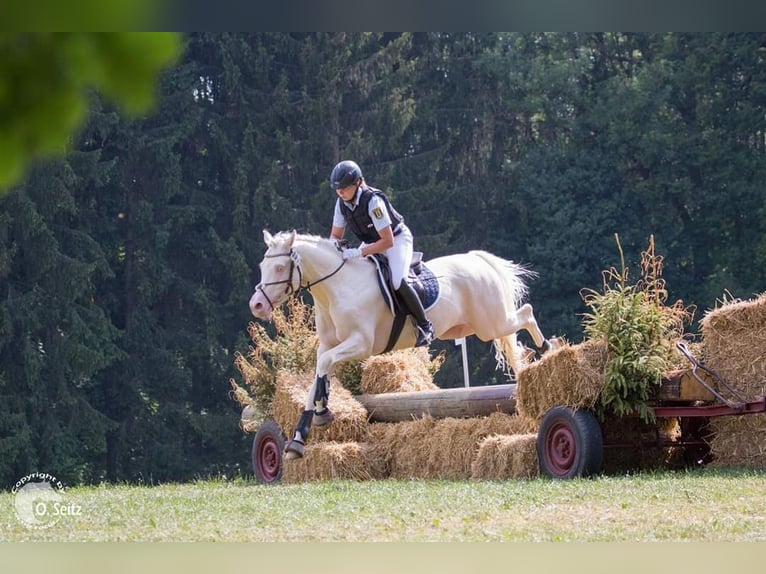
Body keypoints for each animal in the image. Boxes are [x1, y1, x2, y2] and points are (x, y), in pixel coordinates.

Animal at [250, 232, 560, 462]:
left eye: (279, 267)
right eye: (262, 267)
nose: (257, 305)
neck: (337, 288)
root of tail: (478, 259)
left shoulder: (361, 344)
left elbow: (325, 365)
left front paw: (323, 413)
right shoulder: (327, 345)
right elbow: (317, 376)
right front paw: (299, 438)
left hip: (490, 324)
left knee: (526, 313)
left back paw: (551, 350)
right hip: (477, 326)